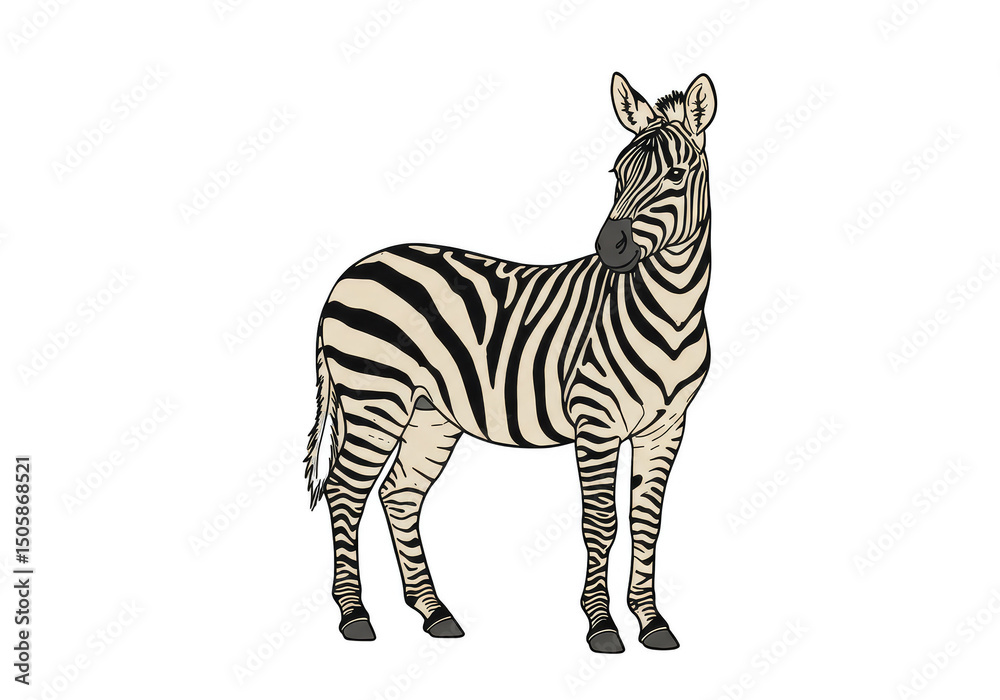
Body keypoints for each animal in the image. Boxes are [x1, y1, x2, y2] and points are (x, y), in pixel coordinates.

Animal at [305, 73, 717, 653]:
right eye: (617, 173)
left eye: (676, 176)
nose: (609, 247)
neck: (672, 313)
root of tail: (351, 271)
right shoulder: (595, 420)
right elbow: (601, 522)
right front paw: (602, 625)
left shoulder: (668, 427)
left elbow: (646, 523)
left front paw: (652, 621)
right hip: (375, 397)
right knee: (345, 491)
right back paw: (354, 615)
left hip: (430, 413)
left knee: (399, 492)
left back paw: (434, 612)